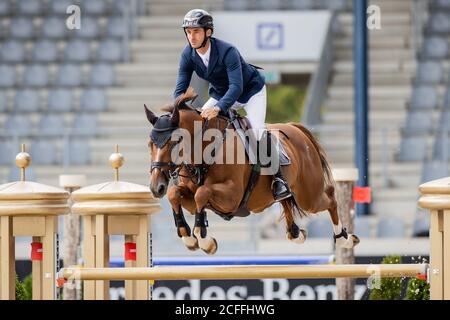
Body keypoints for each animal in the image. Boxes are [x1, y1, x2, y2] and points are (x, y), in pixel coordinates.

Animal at [146, 87, 360, 255]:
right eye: (150, 144)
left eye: (174, 141)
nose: (156, 187)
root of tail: (297, 129)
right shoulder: (189, 198)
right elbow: (175, 194)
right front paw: (188, 237)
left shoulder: (231, 196)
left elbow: (202, 193)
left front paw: (204, 240)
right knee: (286, 202)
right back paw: (296, 232)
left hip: (309, 196)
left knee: (330, 197)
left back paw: (345, 238)